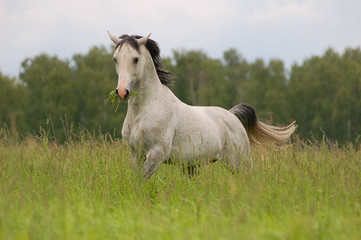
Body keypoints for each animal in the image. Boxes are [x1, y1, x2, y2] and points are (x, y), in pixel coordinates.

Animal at [106, 31, 296, 178]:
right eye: (115, 59)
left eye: (135, 59)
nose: (122, 92)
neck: (145, 109)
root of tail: (232, 116)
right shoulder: (136, 154)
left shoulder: (156, 154)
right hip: (192, 167)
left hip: (239, 164)